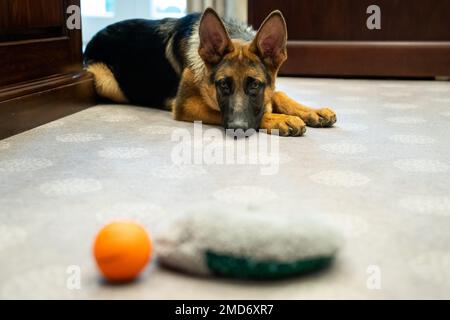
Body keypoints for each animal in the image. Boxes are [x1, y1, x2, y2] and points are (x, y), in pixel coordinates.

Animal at [85, 7, 338, 135]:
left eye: (255, 85)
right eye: (222, 85)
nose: (237, 129)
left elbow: (279, 94)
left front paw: (310, 111)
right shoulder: (187, 105)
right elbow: (220, 110)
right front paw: (278, 119)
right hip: (104, 80)